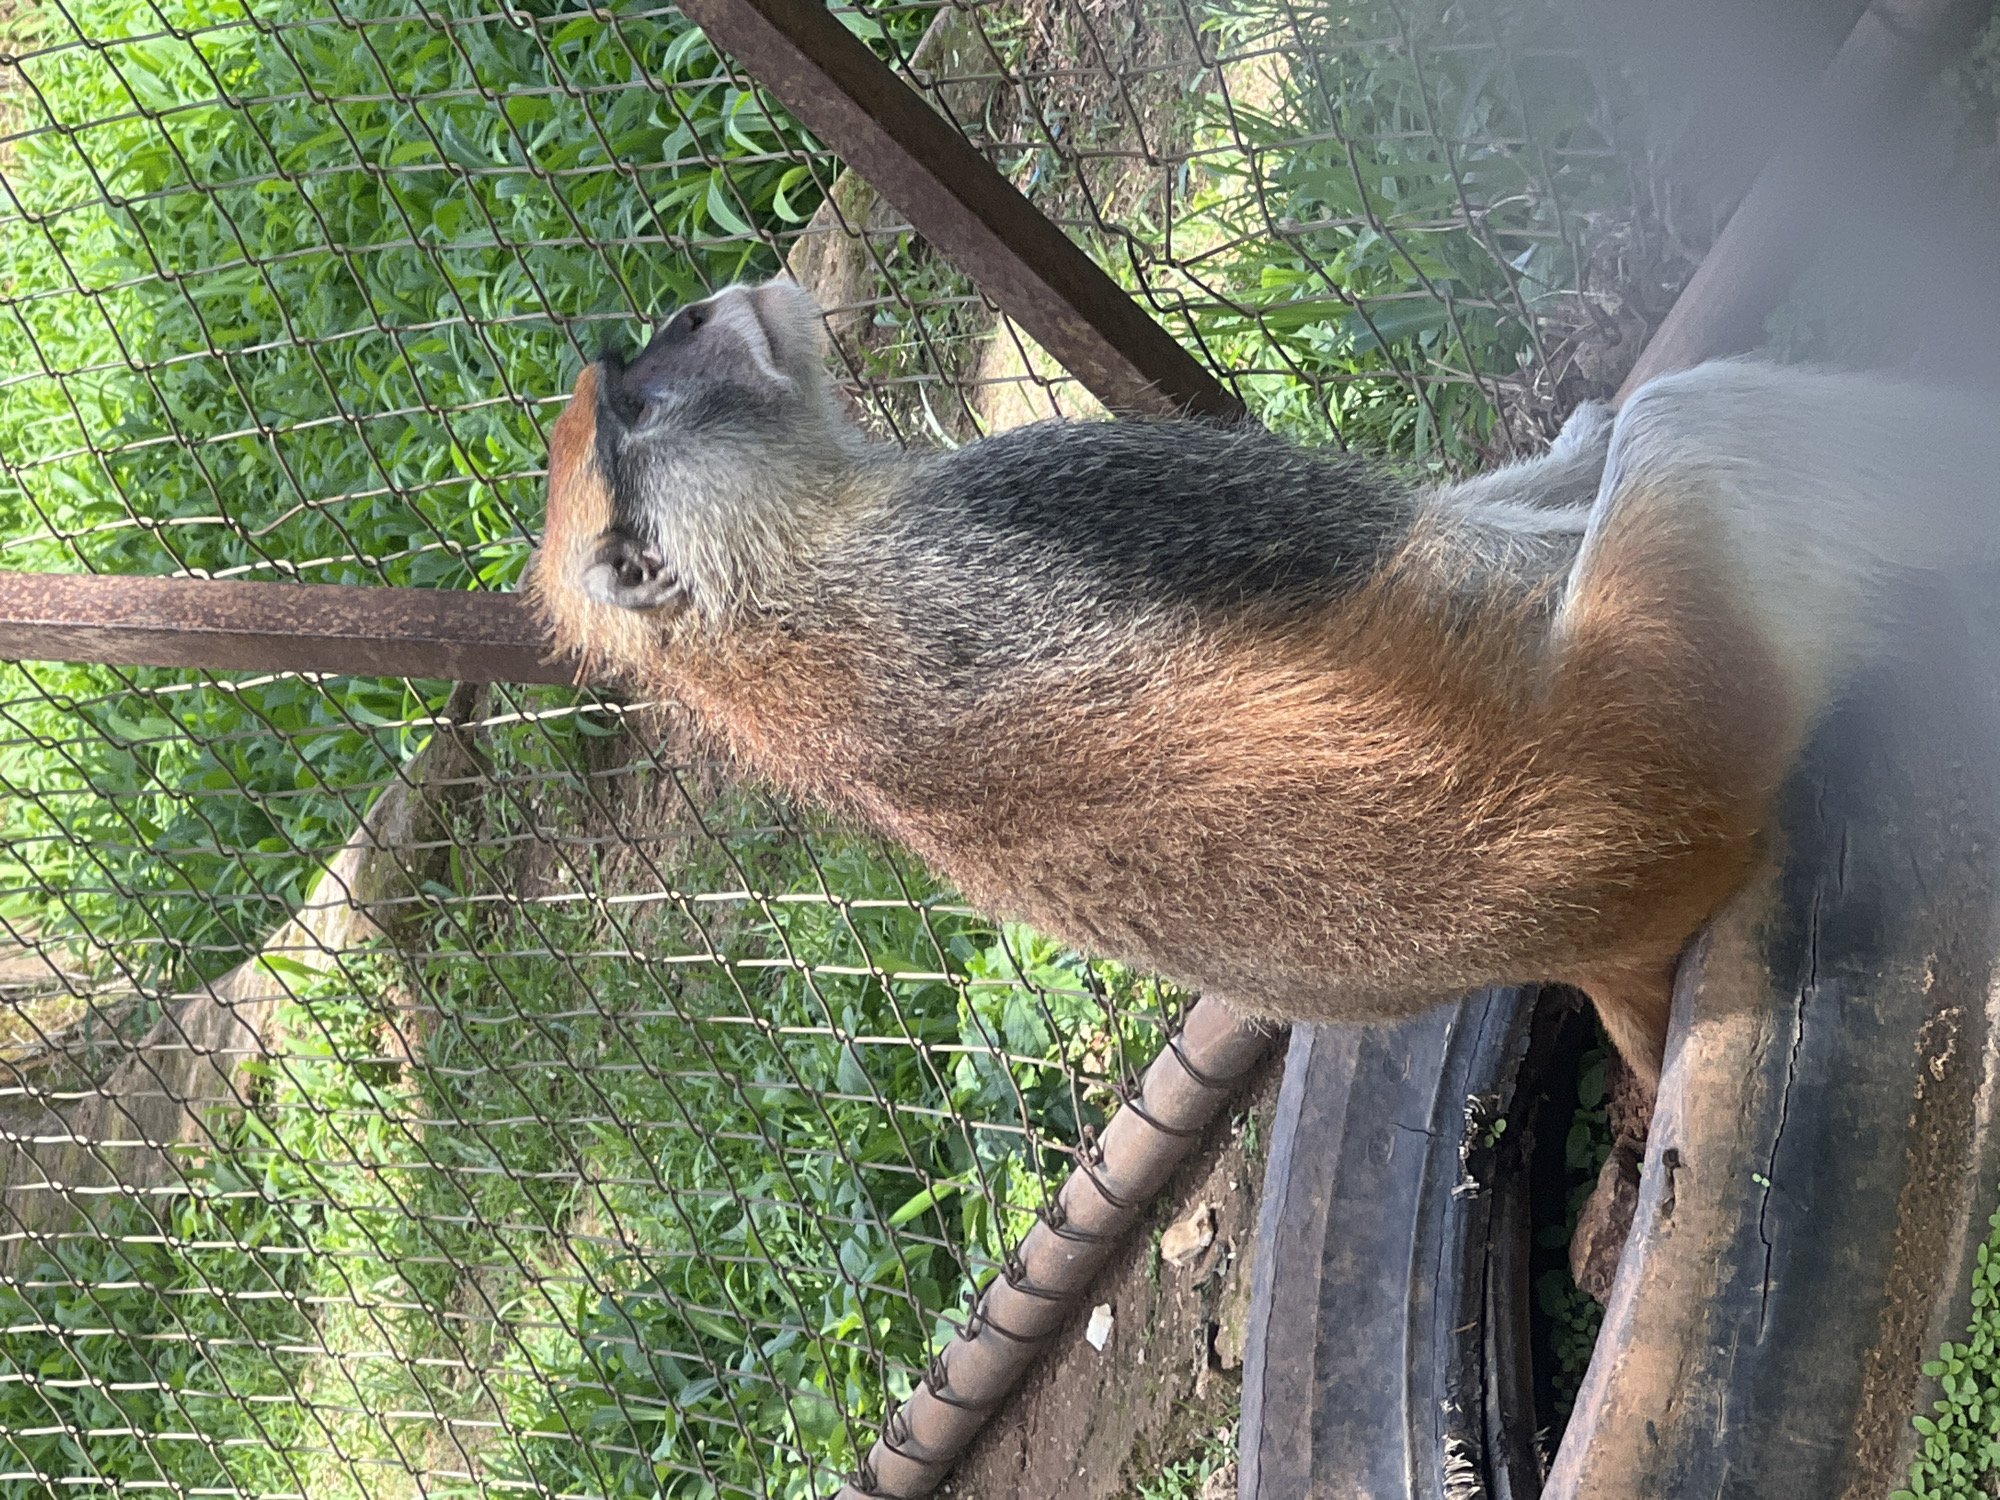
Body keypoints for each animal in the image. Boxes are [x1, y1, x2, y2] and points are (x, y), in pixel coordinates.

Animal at [528, 276, 2000, 1086]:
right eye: (641, 399)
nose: (708, 308)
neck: (754, 606)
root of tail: (1596, 935)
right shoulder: (1057, 495)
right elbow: (1421, 539)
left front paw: (1568, 432)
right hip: (1680, 672)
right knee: (1705, 435)